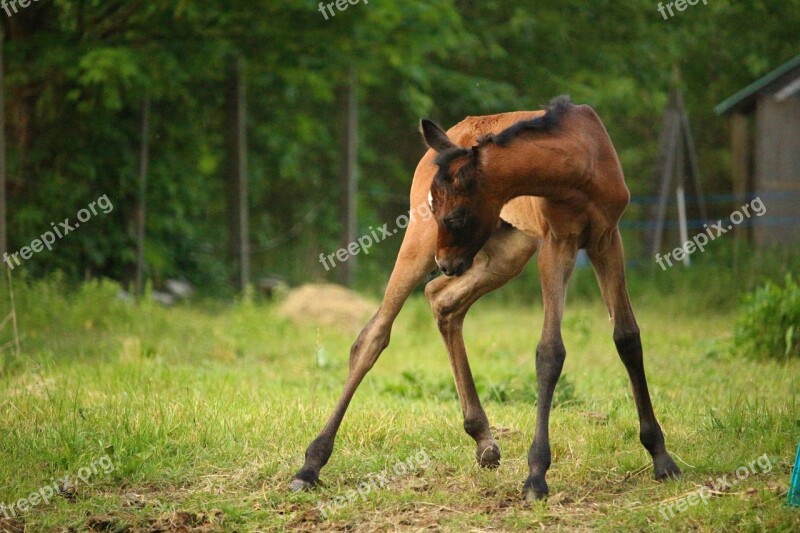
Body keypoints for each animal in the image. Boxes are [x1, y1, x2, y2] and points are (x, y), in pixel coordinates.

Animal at [290, 94, 680, 498]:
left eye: (455, 217)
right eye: (436, 208)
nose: (445, 263)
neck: (581, 163)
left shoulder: (607, 239)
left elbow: (627, 338)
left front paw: (661, 457)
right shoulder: (557, 243)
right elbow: (550, 351)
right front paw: (536, 475)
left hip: (508, 250)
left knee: (442, 300)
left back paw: (483, 438)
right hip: (423, 241)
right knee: (374, 335)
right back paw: (311, 464)